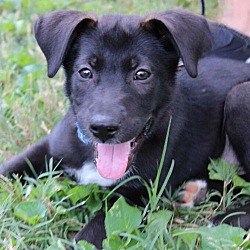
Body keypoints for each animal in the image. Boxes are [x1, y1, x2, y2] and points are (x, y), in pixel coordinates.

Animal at [0, 9, 250, 248]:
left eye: (142, 74)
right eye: (85, 72)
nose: (103, 128)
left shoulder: (136, 195)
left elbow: (90, 235)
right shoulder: (49, 148)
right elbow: (8, 169)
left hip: (239, 97)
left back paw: (227, 218)